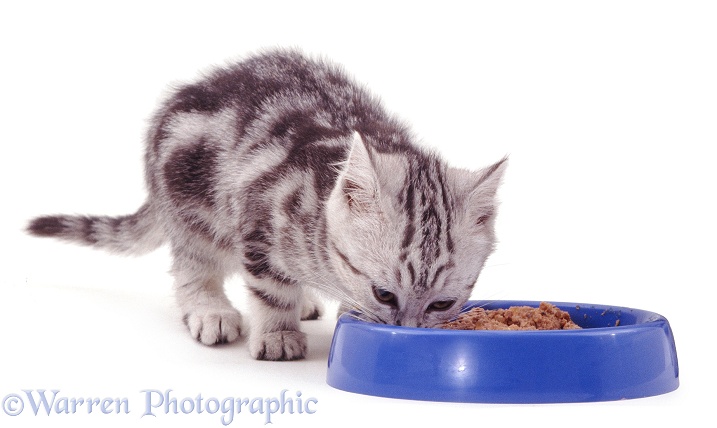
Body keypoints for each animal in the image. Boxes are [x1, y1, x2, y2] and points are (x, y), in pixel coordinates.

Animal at [26, 50, 504, 362]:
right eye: (384, 293)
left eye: (441, 305)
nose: (406, 332)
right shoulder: (259, 214)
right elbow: (270, 288)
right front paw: (278, 334)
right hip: (191, 207)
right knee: (192, 266)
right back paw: (211, 310)